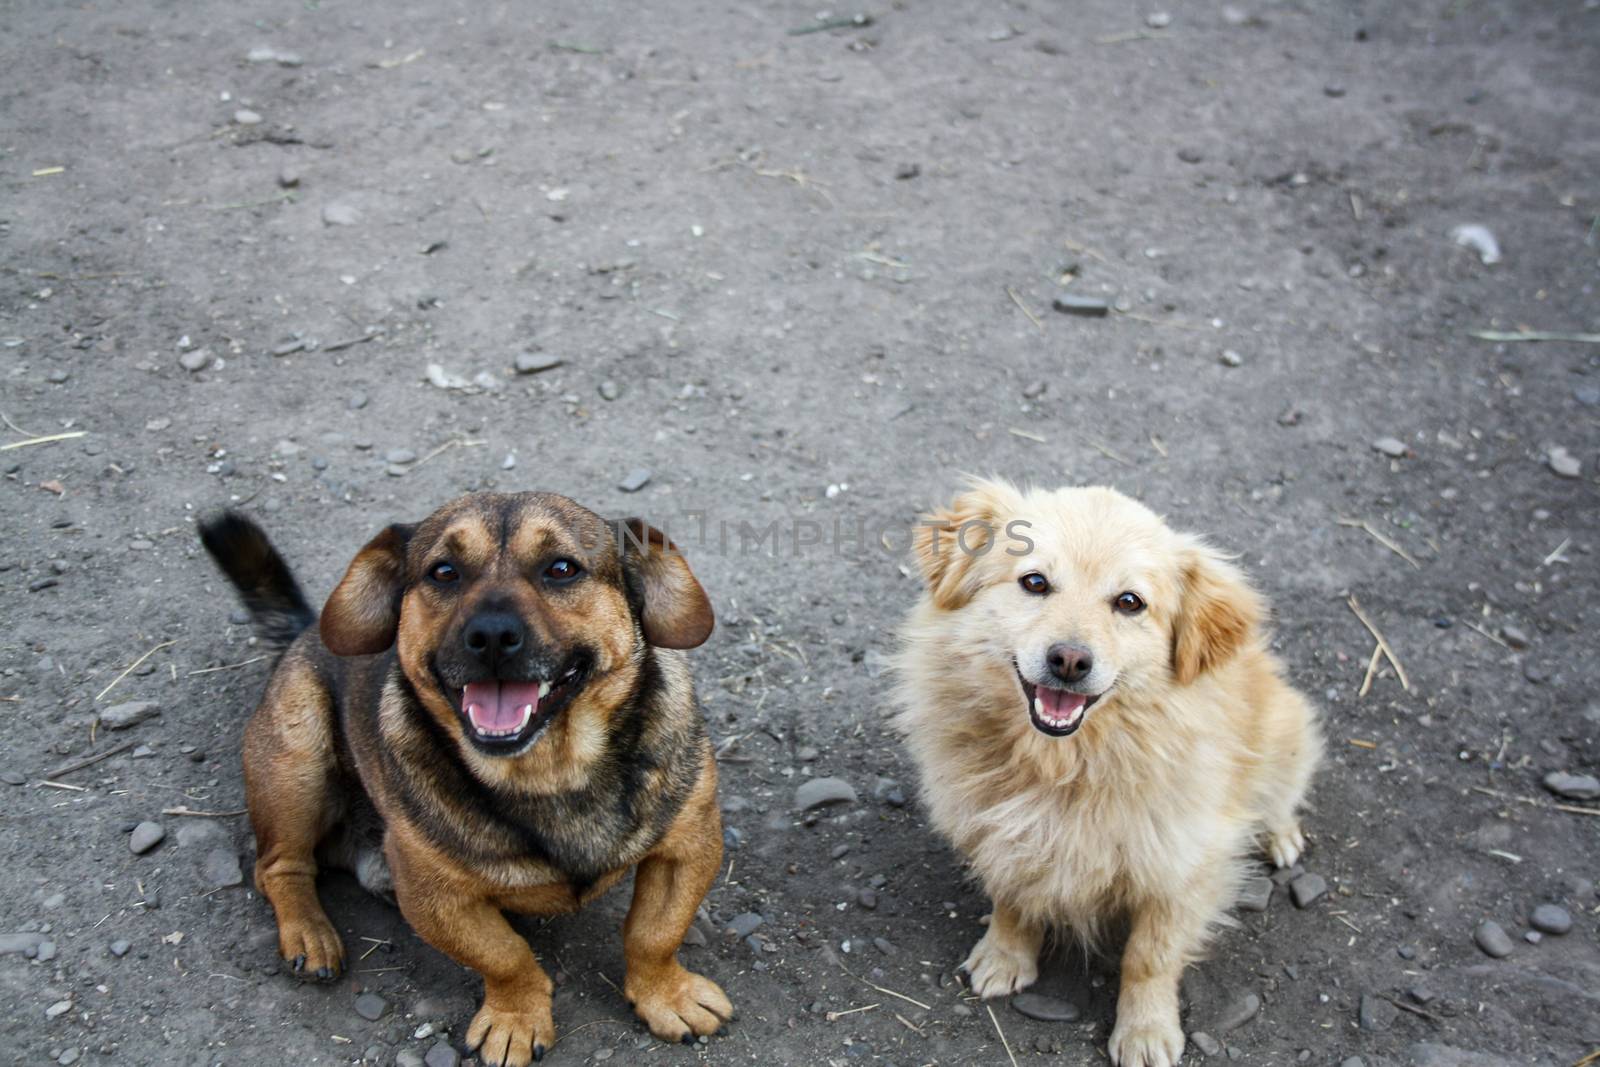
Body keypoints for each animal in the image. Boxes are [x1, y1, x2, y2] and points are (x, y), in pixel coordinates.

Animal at [195, 495, 736, 1067]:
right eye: (444, 572)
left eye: (562, 568)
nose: (491, 636)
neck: (551, 771)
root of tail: (303, 635)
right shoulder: (434, 896)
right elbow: (505, 956)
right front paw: (516, 1017)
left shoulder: (689, 846)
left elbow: (655, 933)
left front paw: (666, 995)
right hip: (298, 760)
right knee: (279, 867)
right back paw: (310, 933)